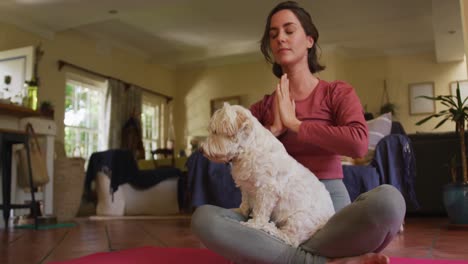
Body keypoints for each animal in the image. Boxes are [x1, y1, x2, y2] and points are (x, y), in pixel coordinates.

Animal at [199, 103, 334, 248]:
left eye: (215, 131)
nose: (200, 149)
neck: (248, 150)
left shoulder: (267, 190)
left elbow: (261, 210)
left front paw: (254, 223)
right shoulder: (246, 187)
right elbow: (245, 201)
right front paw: (240, 210)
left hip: (300, 219)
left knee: (291, 239)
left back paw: (270, 228)